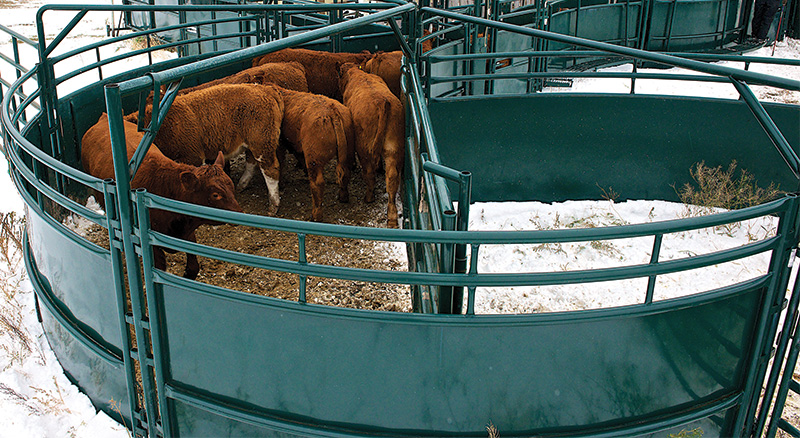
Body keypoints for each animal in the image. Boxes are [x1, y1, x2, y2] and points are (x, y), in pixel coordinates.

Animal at [125, 83, 284, 214]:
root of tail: (265, 89)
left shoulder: (192, 156)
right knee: (252, 162)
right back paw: (242, 185)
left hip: (262, 143)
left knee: (270, 169)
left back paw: (273, 204)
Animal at [278, 86, 356, 222]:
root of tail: (332, 110)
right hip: (348, 152)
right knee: (345, 173)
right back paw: (343, 196)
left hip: (314, 159)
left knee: (317, 183)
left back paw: (316, 214)